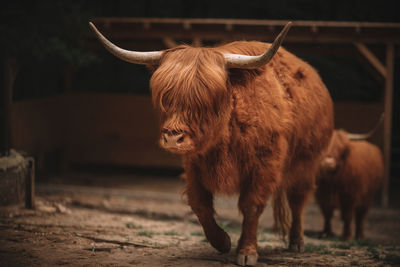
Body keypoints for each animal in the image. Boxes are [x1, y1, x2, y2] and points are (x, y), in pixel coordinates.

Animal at [90, 21, 334, 266]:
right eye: (166, 98)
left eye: (205, 100)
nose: (172, 137)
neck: (222, 140)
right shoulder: (193, 165)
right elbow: (200, 204)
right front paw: (222, 241)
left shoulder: (265, 164)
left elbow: (251, 205)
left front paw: (247, 251)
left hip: (307, 163)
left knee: (298, 200)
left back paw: (297, 242)